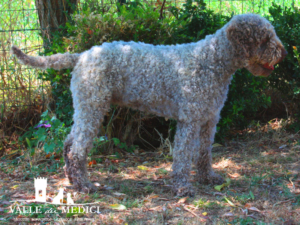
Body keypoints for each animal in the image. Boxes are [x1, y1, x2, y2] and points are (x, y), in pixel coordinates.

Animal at [12, 14, 288, 196]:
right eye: (265, 38)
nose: (284, 53)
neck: (213, 61)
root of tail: (83, 55)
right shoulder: (189, 120)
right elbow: (183, 155)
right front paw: (182, 187)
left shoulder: (209, 119)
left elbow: (204, 153)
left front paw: (208, 178)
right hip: (93, 107)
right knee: (77, 148)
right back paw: (84, 185)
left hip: (86, 107)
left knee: (69, 143)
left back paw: (73, 181)